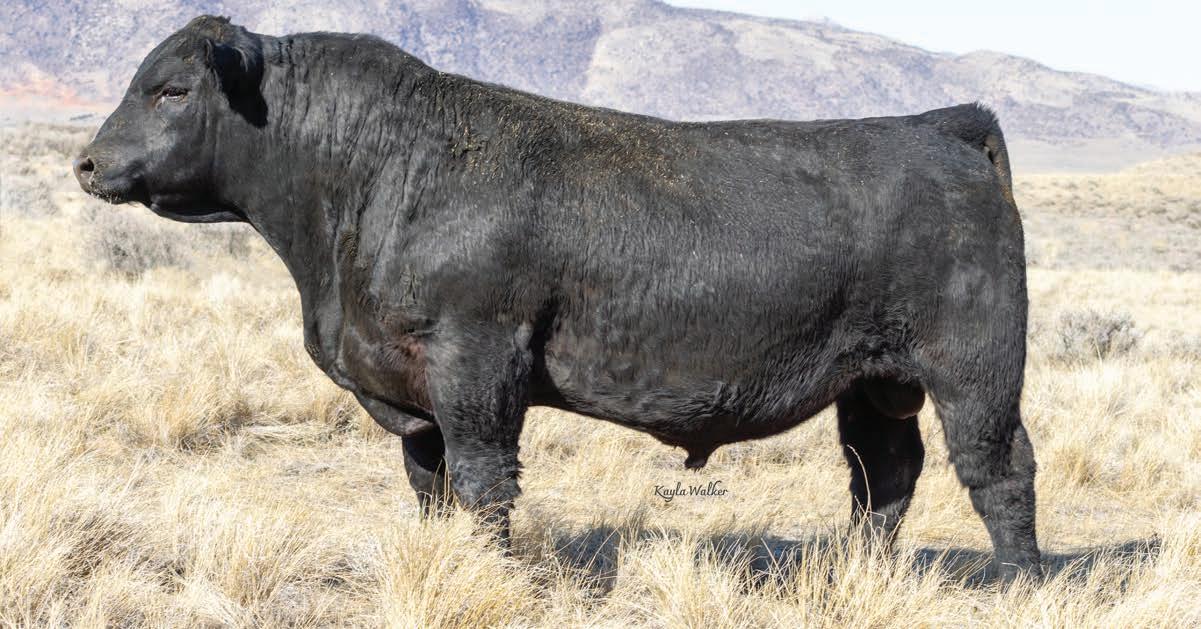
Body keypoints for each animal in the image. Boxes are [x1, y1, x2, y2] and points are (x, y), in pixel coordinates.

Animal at [74, 15, 1042, 580]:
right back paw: (853, 574)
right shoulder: (411, 391)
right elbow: (430, 484)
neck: (366, 173)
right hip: (875, 381)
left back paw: (1019, 579)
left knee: (998, 469)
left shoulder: (476, 362)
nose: (87, 162)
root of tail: (938, 128)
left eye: (171, 88)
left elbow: (483, 481)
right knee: (884, 474)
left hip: (974, 370)